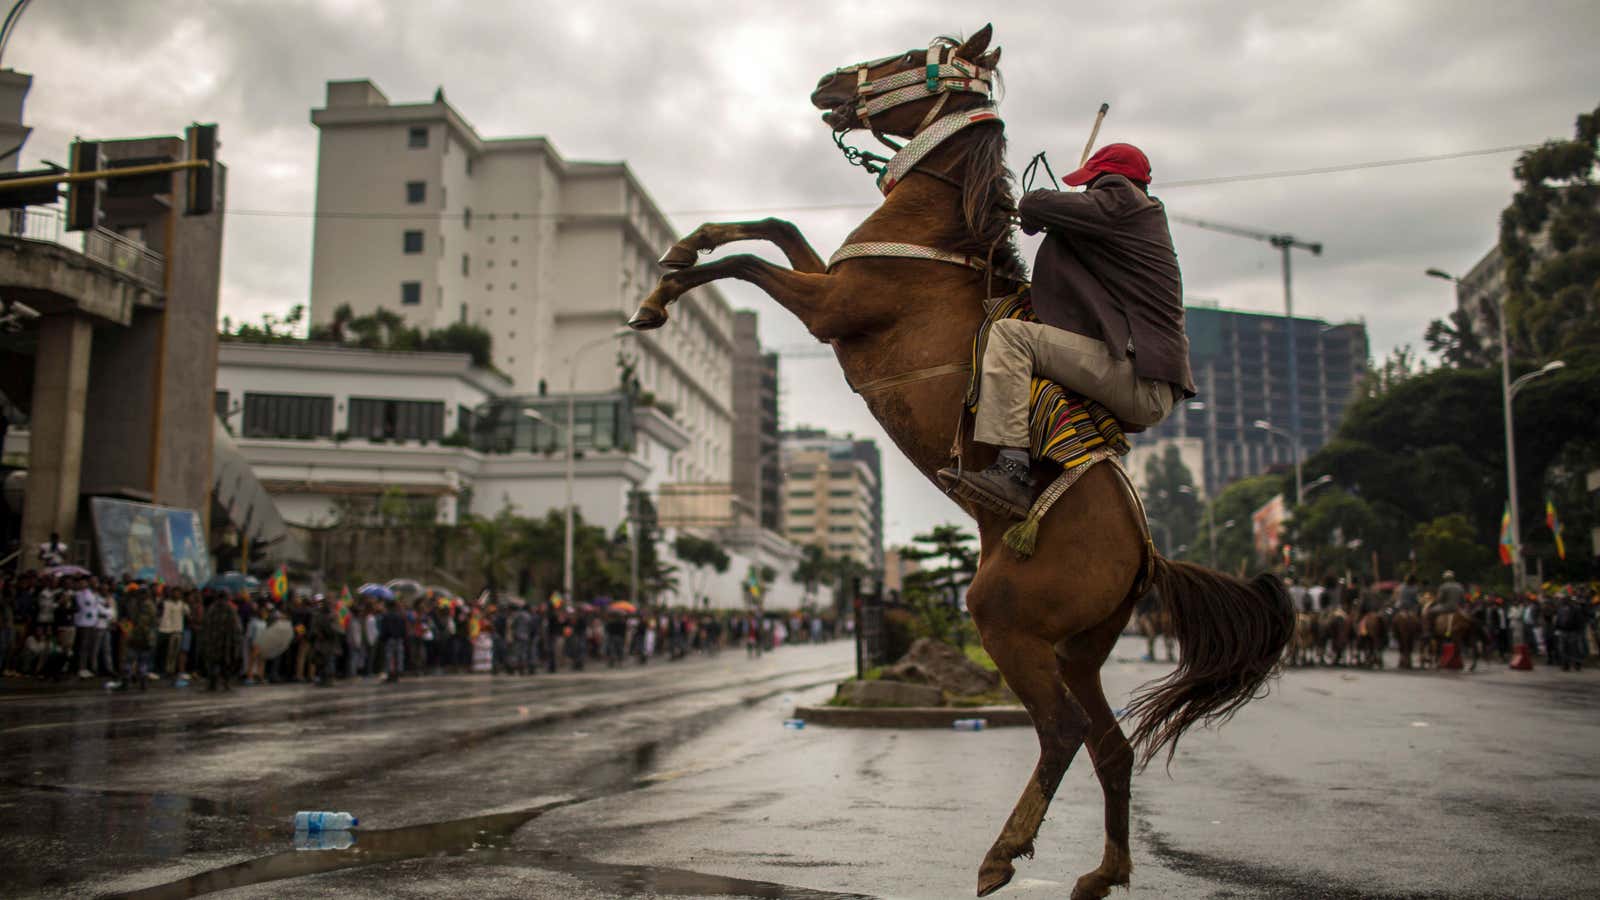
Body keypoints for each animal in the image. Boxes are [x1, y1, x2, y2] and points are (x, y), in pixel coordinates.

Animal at [620, 24, 1286, 890]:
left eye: (912, 54)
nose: (829, 83)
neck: (935, 231)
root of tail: (1146, 550)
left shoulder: (830, 308)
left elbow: (749, 262)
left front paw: (660, 292)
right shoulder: (827, 280)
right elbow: (773, 224)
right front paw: (679, 250)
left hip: (1005, 621)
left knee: (1062, 732)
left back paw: (1002, 855)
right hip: (1079, 648)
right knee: (1109, 746)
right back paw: (1101, 873)